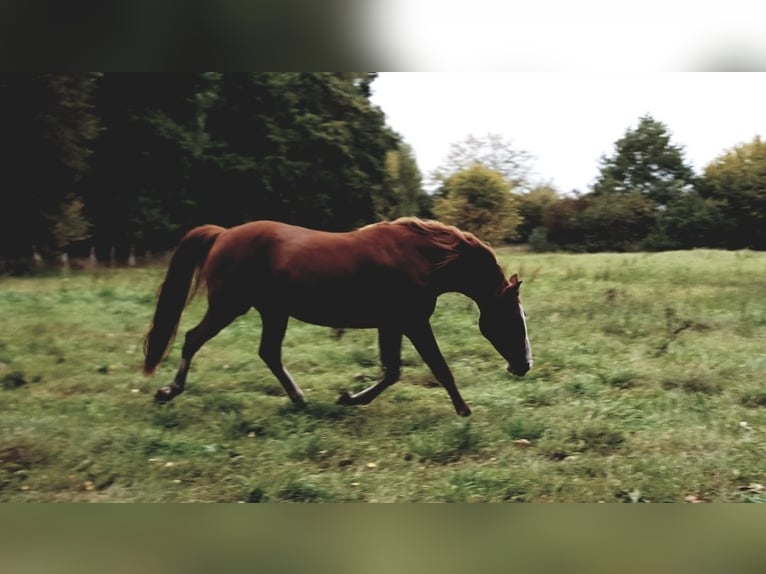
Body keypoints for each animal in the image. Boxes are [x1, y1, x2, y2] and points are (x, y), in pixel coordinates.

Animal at [142, 218, 536, 416]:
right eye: (512, 319)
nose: (524, 365)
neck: (424, 258)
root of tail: (223, 235)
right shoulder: (412, 322)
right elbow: (438, 367)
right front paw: (464, 410)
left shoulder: (392, 324)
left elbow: (392, 372)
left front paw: (348, 398)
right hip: (229, 306)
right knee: (193, 338)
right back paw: (168, 391)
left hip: (273, 312)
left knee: (269, 353)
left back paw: (300, 400)